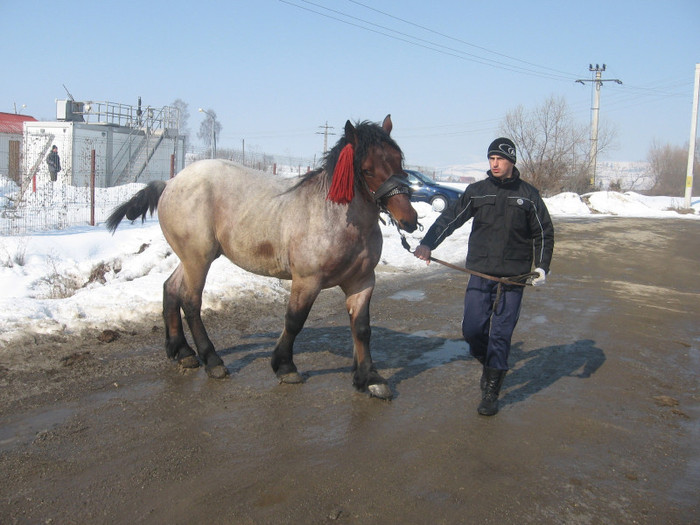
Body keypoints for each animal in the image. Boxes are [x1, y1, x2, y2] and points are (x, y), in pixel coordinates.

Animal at [106, 114, 418, 398]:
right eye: (366, 169)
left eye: (399, 161)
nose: (410, 220)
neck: (337, 218)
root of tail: (170, 183)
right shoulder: (307, 281)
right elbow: (294, 321)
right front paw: (284, 366)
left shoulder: (362, 281)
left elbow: (362, 328)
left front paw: (369, 378)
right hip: (198, 259)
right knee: (191, 301)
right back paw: (212, 360)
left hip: (193, 257)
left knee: (171, 288)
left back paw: (183, 352)